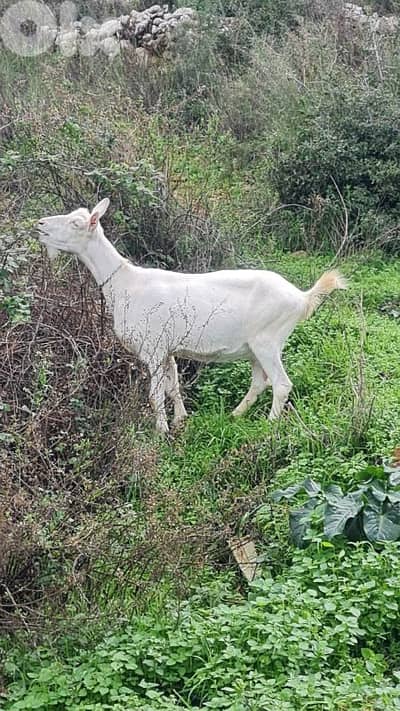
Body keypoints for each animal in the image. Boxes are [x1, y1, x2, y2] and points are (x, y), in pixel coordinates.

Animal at [36, 198, 347, 433]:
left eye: (76, 223)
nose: (39, 225)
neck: (126, 284)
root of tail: (301, 297)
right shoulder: (167, 349)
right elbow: (173, 387)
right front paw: (180, 420)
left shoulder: (152, 347)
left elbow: (155, 395)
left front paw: (161, 432)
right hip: (256, 347)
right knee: (260, 382)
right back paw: (235, 415)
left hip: (268, 340)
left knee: (281, 384)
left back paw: (269, 425)